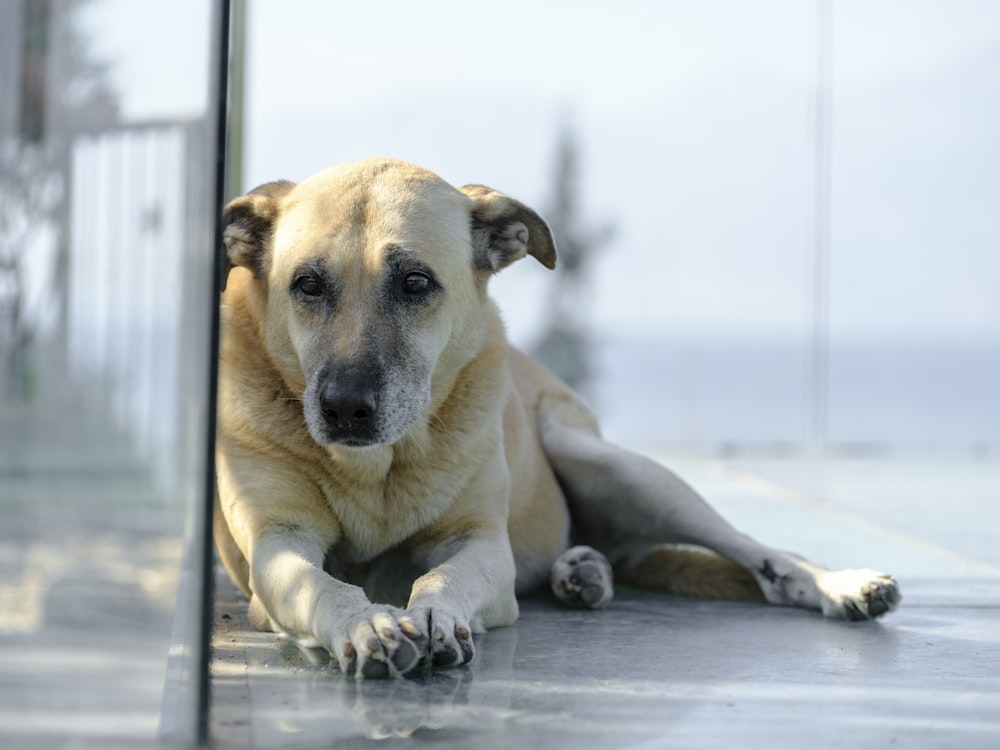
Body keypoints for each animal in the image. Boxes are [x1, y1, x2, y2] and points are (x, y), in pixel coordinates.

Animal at [213, 156, 900, 680]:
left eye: (414, 282)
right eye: (307, 284)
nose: (344, 409)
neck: (378, 470)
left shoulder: (484, 544)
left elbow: (444, 577)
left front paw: (436, 615)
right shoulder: (279, 544)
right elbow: (324, 586)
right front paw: (367, 622)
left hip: (612, 466)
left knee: (762, 554)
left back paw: (840, 584)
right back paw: (584, 570)